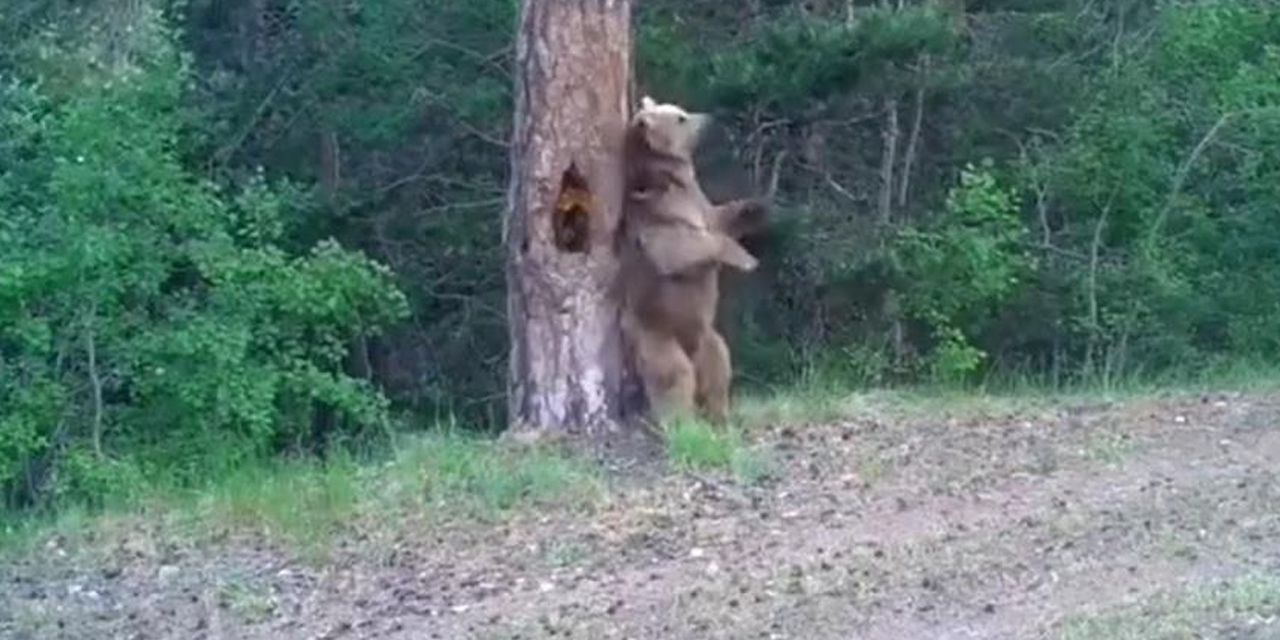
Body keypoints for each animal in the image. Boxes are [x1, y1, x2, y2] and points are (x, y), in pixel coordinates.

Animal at [619, 96, 768, 424]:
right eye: (681, 118)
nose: (710, 119)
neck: (674, 181)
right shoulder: (657, 216)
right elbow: (680, 249)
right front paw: (746, 259)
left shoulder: (699, 202)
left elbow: (720, 217)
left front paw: (756, 208)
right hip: (653, 334)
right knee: (673, 376)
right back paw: (681, 421)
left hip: (707, 337)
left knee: (719, 364)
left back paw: (720, 415)